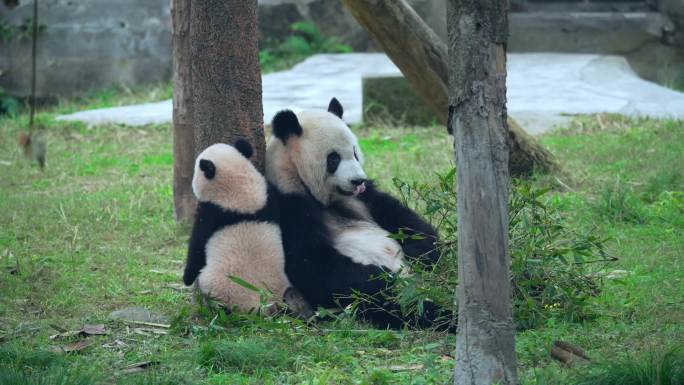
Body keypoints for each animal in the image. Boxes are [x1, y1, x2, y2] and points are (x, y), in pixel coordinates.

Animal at [182, 139, 310, 316]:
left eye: (195, 171)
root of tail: (265, 306)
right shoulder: (270, 197)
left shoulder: (212, 213)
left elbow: (197, 248)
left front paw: (186, 278)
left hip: (222, 287)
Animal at [268, 97, 454, 328]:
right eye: (333, 159)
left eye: (355, 153)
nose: (358, 180)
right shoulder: (290, 206)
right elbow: (314, 267)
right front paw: (383, 276)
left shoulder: (364, 199)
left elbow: (410, 223)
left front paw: (418, 253)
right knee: (398, 307)